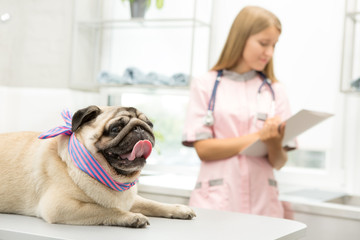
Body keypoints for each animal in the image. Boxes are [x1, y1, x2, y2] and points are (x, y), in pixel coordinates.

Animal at [0, 105, 194, 227]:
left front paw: (178, 209)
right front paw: (131, 217)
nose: (140, 128)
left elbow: (154, 203)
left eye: (150, 124)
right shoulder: (59, 206)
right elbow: (106, 209)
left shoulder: (131, 200)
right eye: (116, 128)